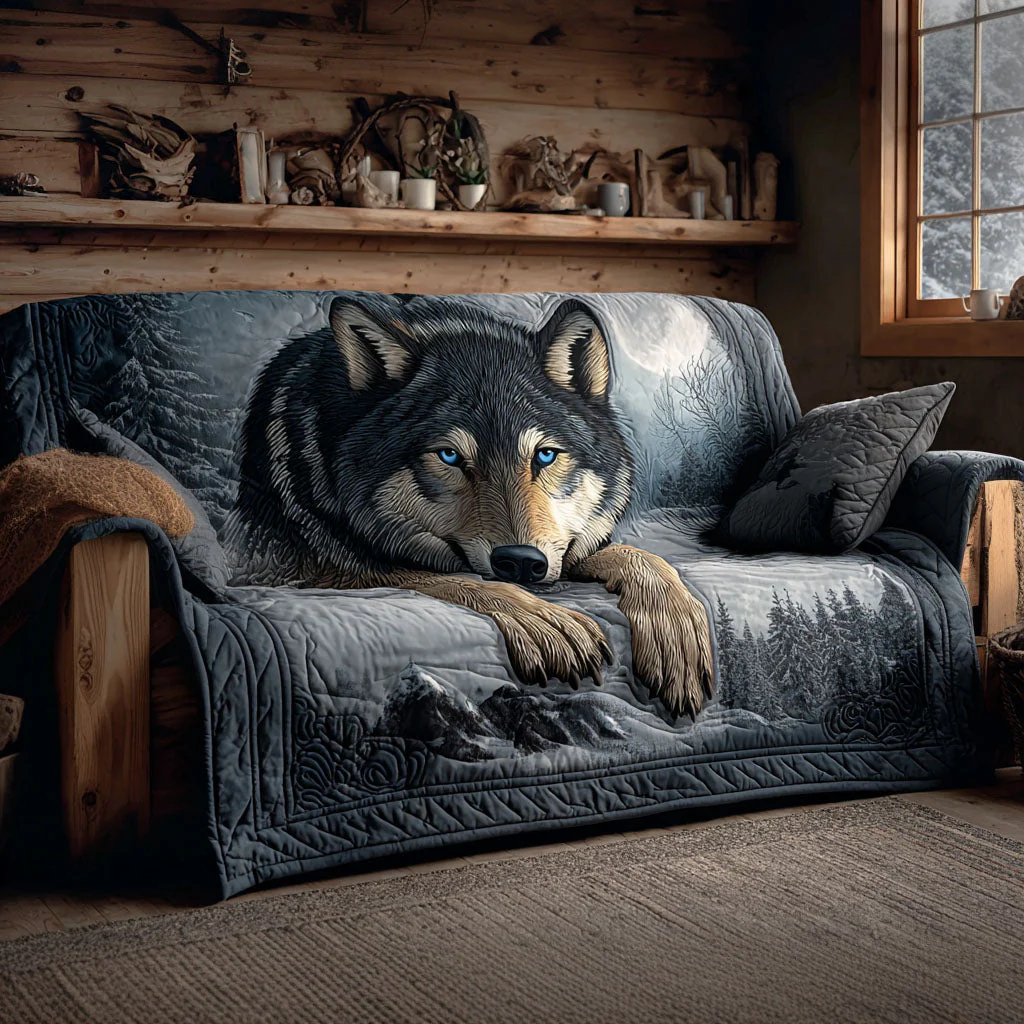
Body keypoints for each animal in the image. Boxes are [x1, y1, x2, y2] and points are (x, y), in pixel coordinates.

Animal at [226, 295, 713, 717]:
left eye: (544, 455)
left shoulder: (563, 551)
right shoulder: (328, 567)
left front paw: (676, 633)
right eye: (449, 456)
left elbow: (642, 558)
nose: (521, 562)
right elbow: (456, 581)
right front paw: (547, 623)